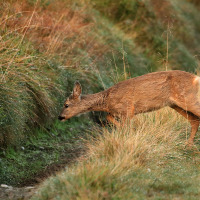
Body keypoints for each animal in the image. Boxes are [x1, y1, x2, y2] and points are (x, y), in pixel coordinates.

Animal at [58, 70, 200, 145]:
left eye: (66, 105)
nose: (60, 117)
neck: (107, 100)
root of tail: (195, 78)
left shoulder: (127, 108)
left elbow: (123, 124)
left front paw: (128, 133)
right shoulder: (118, 111)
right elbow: (109, 117)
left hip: (187, 99)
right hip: (175, 105)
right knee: (195, 120)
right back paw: (188, 145)